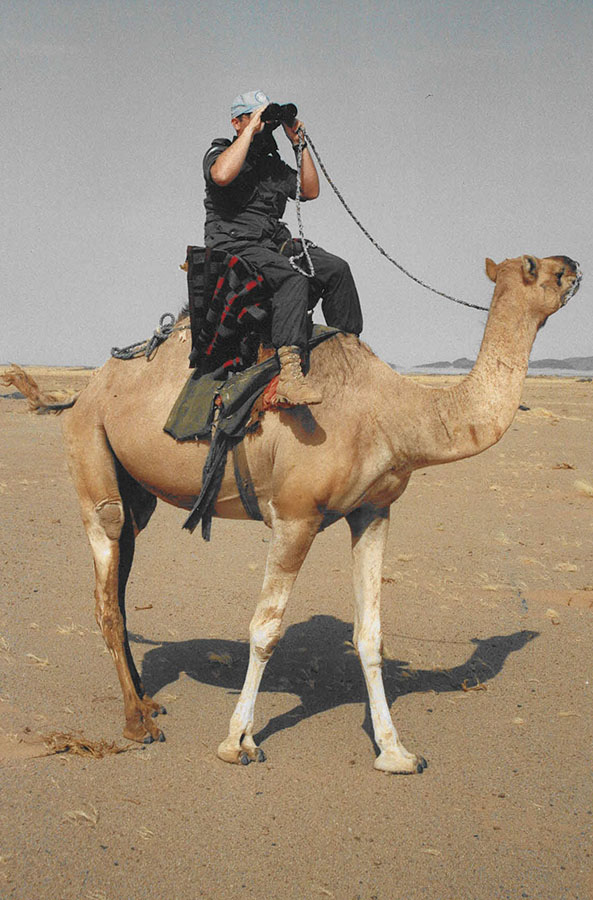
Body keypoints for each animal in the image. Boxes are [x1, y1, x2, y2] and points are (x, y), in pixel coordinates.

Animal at [4, 253, 580, 772]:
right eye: (535, 267)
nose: (573, 265)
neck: (394, 412)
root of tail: (81, 392)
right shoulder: (295, 514)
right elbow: (265, 629)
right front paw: (237, 742)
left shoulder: (374, 511)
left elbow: (370, 633)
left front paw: (395, 752)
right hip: (91, 454)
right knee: (107, 575)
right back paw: (136, 724)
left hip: (136, 488)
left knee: (121, 575)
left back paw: (147, 702)